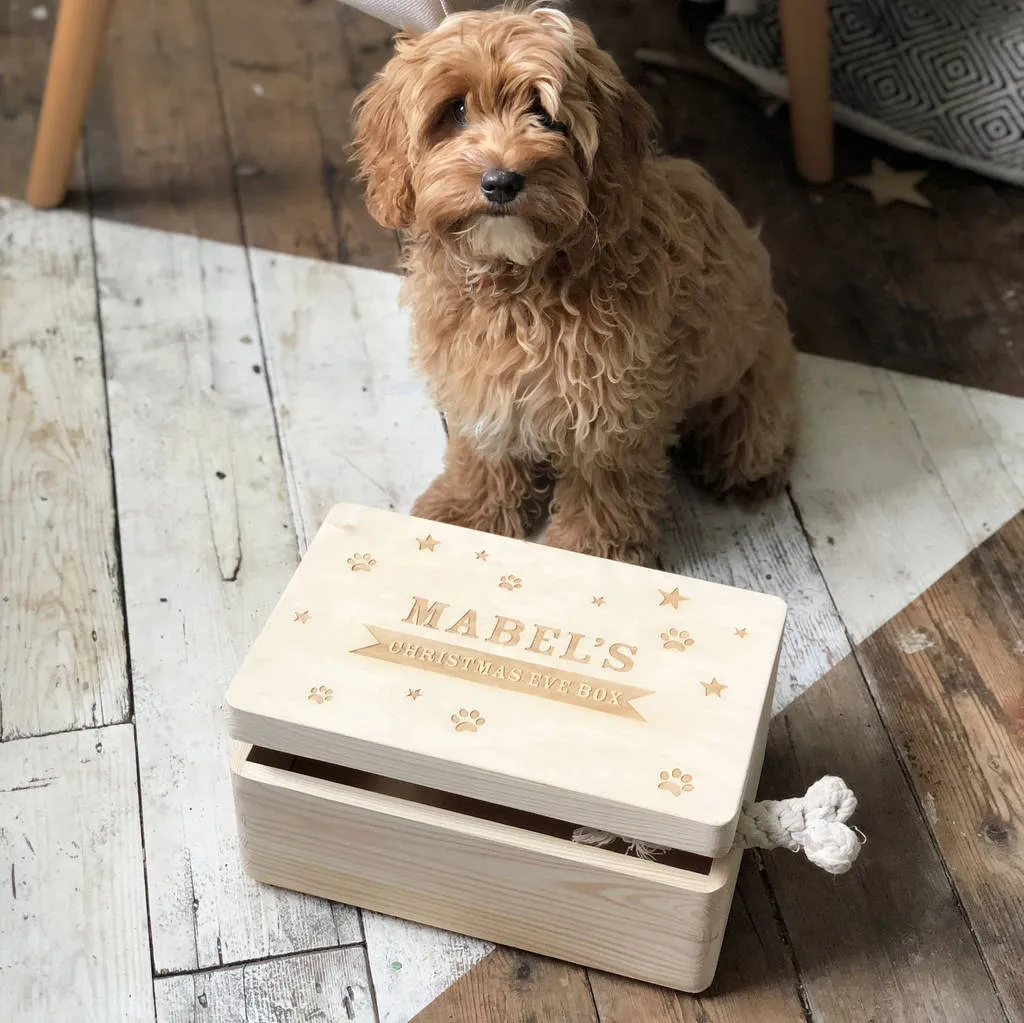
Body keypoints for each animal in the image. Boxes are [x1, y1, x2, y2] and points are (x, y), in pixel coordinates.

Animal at [354, 4, 798, 565]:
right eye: (454, 110)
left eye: (545, 116)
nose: (500, 182)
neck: (520, 279)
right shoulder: (479, 381)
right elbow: (484, 451)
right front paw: (467, 511)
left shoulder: (616, 408)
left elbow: (603, 487)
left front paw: (590, 553)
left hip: (753, 378)